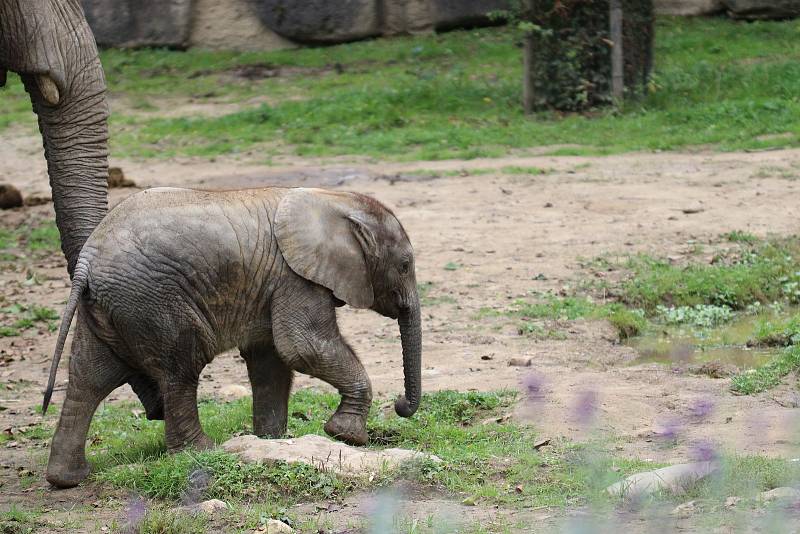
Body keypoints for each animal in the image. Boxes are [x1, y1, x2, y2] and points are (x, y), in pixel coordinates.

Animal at [42, 187, 424, 490]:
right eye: (405, 265)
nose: (400, 405)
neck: (335, 200)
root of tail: (88, 258)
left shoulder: (274, 284)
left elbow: (271, 360)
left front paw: (272, 441)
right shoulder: (295, 278)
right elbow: (302, 347)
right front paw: (346, 435)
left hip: (109, 307)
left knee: (89, 379)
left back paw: (68, 479)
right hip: (152, 300)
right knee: (180, 369)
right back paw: (201, 450)